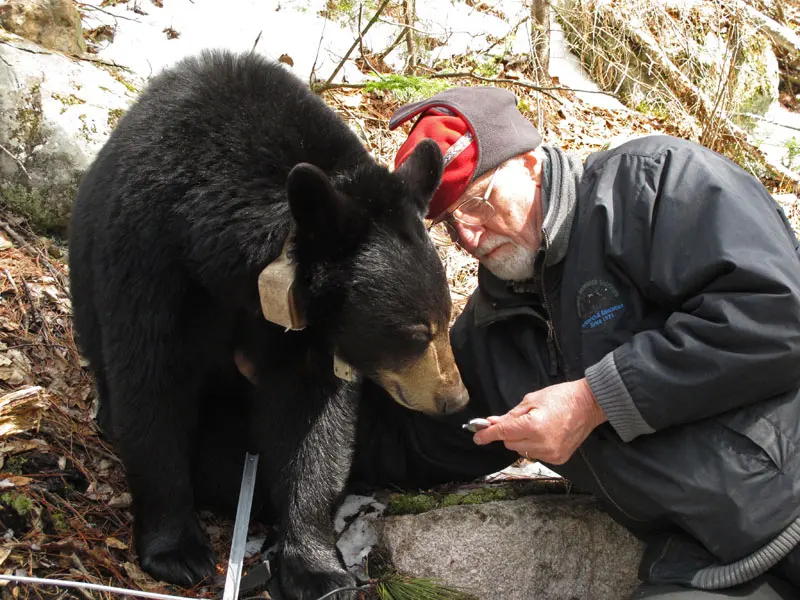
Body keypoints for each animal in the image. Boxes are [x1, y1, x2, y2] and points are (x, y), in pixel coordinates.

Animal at [67, 49, 469, 600]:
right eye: (415, 333)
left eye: (446, 319)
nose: (455, 399)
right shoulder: (153, 257)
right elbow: (153, 383)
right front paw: (177, 551)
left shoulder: (307, 333)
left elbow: (311, 424)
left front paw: (317, 569)